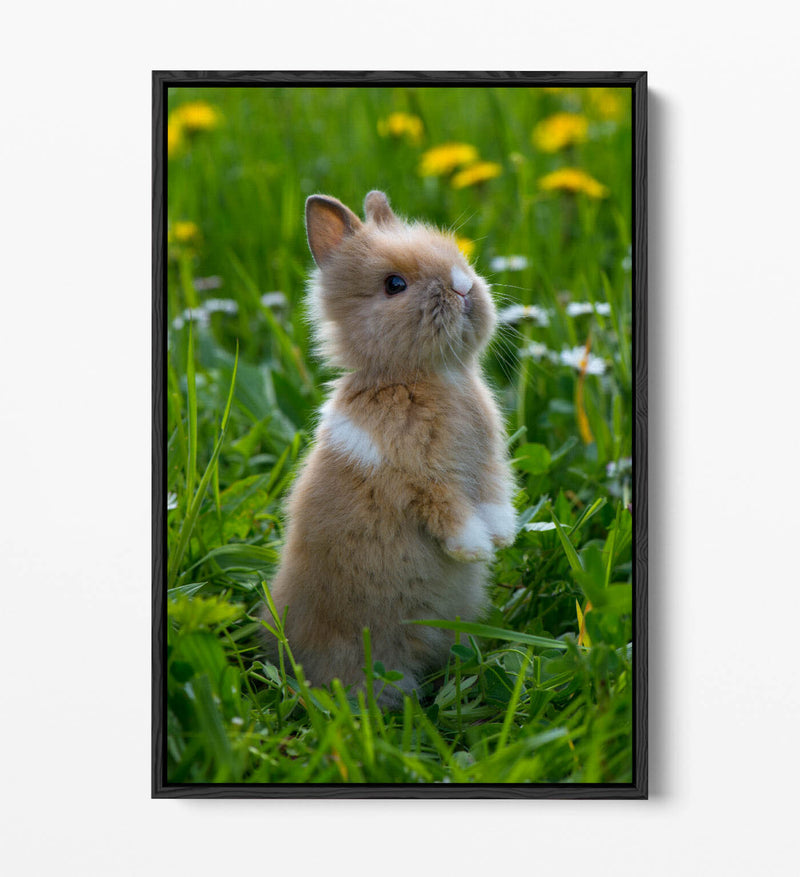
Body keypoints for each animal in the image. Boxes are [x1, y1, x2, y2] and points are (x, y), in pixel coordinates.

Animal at [261, 190, 516, 708]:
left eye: (459, 257)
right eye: (394, 285)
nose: (463, 286)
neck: (427, 376)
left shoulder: (487, 464)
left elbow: (494, 493)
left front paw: (502, 538)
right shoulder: (417, 476)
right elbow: (449, 509)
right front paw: (475, 549)